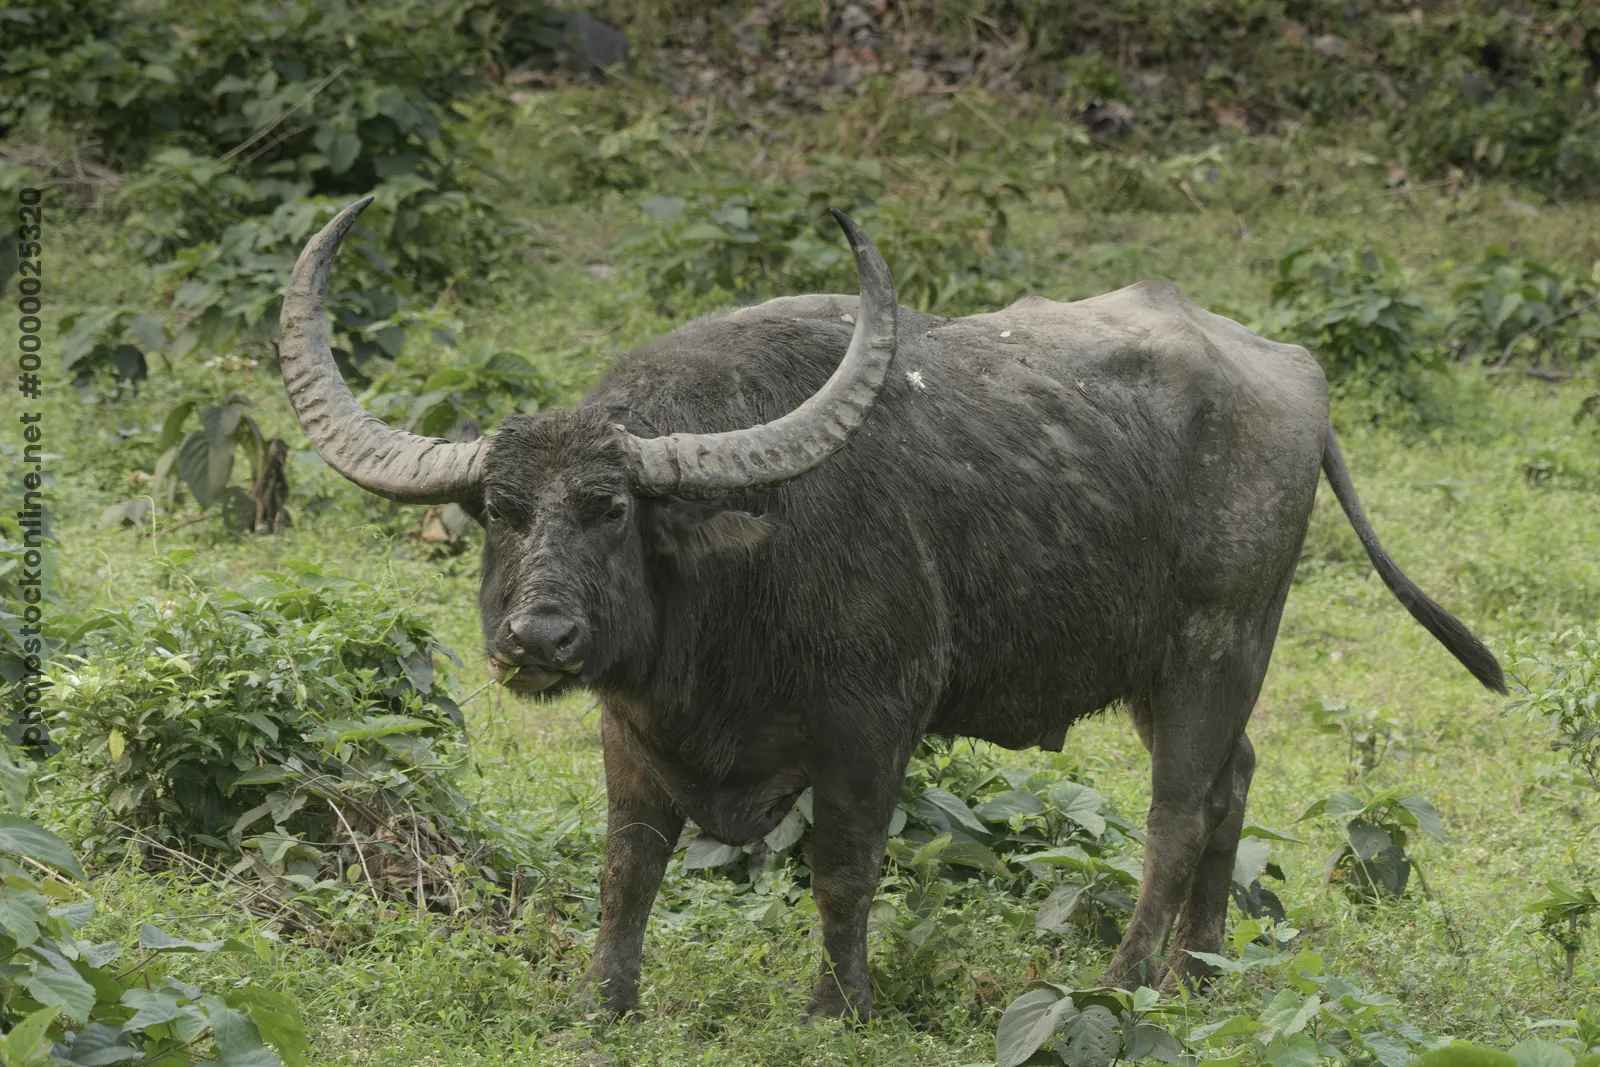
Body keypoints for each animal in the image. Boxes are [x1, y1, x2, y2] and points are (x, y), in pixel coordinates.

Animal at [278, 198, 1504, 1019]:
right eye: (499, 509)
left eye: (611, 508)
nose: (538, 638)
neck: (727, 589)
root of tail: (1292, 370)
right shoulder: (631, 730)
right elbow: (629, 864)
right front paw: (602, 1003)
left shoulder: (873, 721)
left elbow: (843, 865)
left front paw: (837, 1006)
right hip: (1171, 669)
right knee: (1233, 784)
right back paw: (1199, 976)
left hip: (1221, 645)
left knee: (1176, 811)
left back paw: (1123, 981)